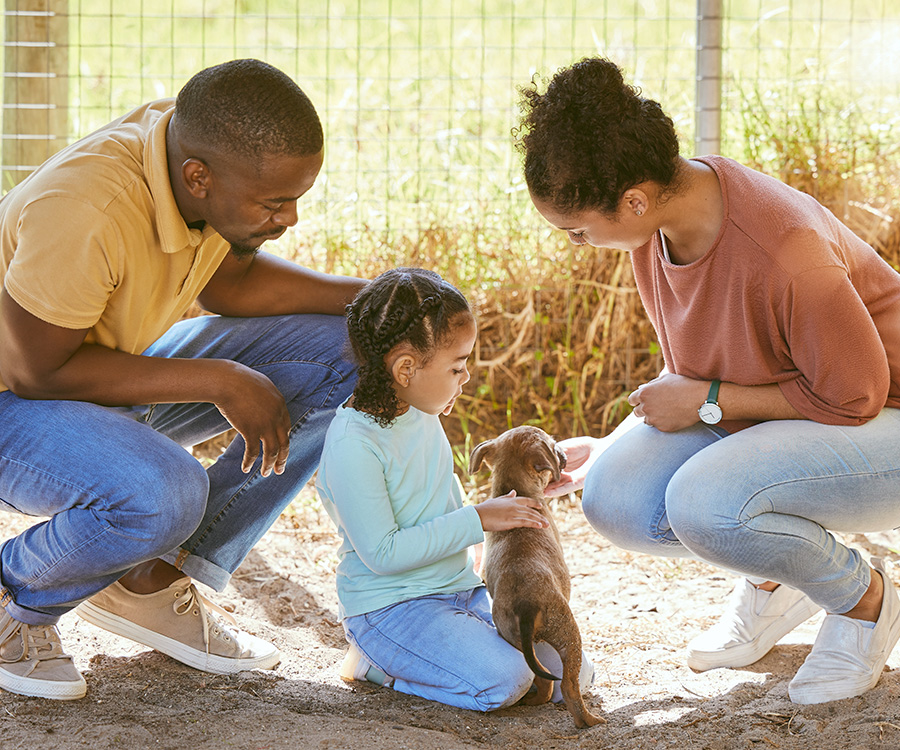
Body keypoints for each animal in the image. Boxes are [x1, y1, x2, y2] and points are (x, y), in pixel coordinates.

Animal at [468, 428, 600, 728]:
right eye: (552, 445)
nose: (563, 451)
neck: (514, 490)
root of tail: (526, 603)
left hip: (514, 638)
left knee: (543, 680)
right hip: (569, 637)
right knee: (566, 687)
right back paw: (590, 720)